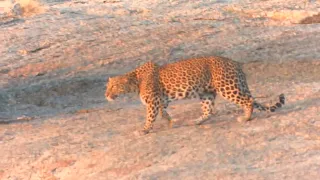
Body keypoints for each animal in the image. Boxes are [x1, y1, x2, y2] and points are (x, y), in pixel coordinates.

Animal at [105, 56, 284, 135]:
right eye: (107, 86)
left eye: (113, 86)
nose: (106, 95)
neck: (135, 82)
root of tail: (235, 63)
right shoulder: (160, 100)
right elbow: (163, 112)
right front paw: (170, 122)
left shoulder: (153, 101)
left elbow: (150, 116)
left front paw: (144, 130)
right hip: (207, 93)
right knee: (209, 111)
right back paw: (196, 121)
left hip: (227, 87)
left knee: (249, 100)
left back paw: (245, 118)